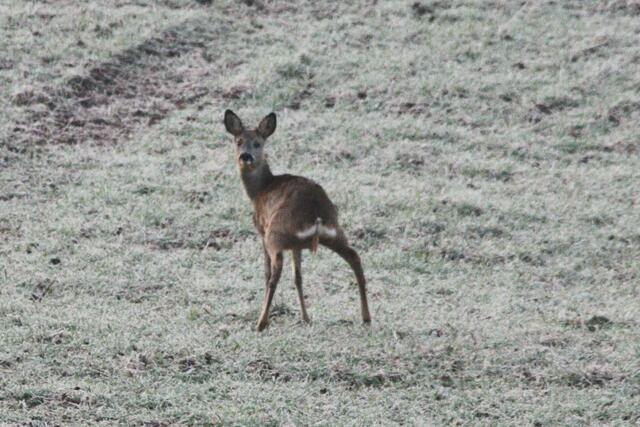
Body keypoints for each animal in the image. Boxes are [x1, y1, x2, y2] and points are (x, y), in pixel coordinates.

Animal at [223, 109, 371, 331]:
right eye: (238, 141)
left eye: (258, 143)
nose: (245, 156)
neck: (261, 188)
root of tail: (315, 212)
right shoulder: (296, 245)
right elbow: (298, 277)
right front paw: (306, 318)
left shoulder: (261, 231)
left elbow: (267, 272)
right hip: (333, 231)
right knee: (354, 256)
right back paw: (366, 317)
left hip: (275, 235)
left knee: (275, 272)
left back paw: (261, 323)